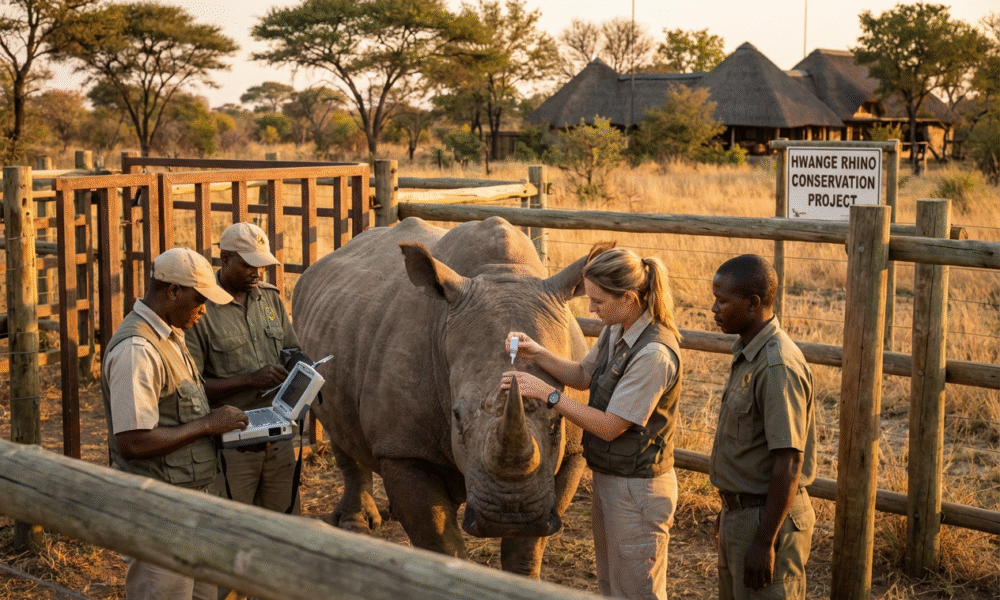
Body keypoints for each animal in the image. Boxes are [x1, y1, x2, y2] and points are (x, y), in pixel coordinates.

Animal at [291, 216, 590, 577]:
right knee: (336, 424)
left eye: (557, 419)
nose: (510, 514)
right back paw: (356, 525)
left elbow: (526, 551)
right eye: (456, 416)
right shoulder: (404, 448)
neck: (501, 272)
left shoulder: (573, 452)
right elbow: (439, 541)